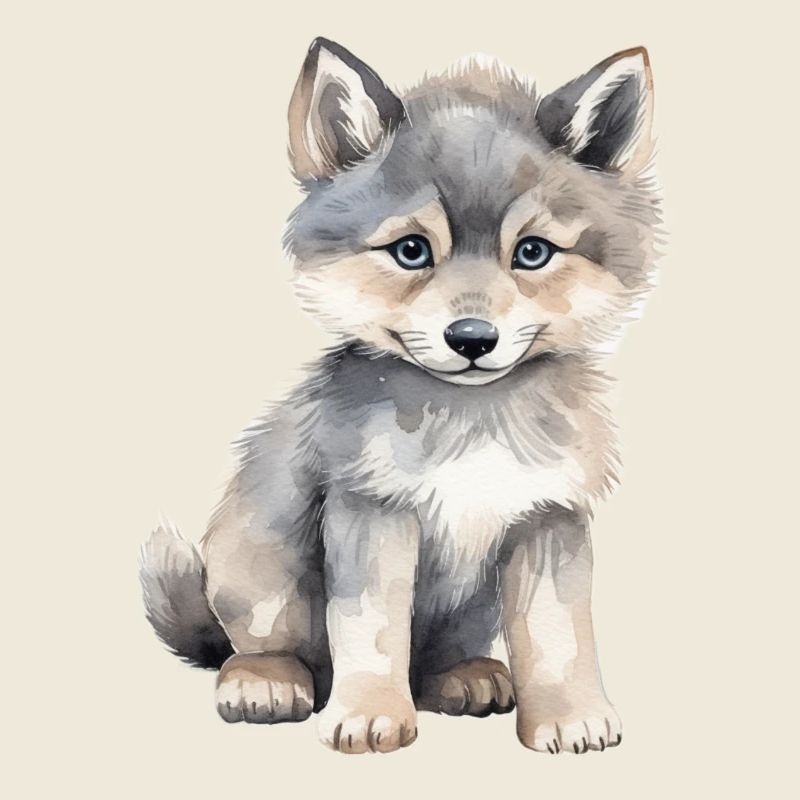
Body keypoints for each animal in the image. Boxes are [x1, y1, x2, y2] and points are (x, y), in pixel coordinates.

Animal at [140, 38, 659, 755]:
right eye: (412, 251)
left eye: (532, 253)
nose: (472, 338)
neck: (473, 421)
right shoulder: (371, 510)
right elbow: (372, 629)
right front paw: (370, 716)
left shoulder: (548, 516)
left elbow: (558, 636)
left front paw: (568, 717)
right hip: (260, 567)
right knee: (254, 646)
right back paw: (265, 681)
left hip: (473, 607)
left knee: (434, 659)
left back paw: (465, 677)